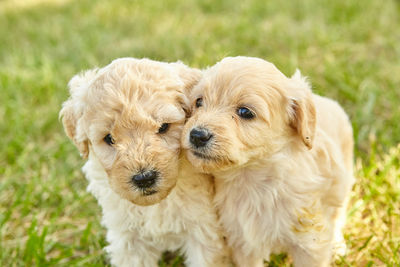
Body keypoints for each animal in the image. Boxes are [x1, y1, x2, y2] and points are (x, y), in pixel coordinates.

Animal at [181, 56, 354, 267]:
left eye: (245, 112)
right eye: (199, 101)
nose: (197, 135)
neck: (252, 178)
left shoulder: (310, 242)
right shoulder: (243, 242)